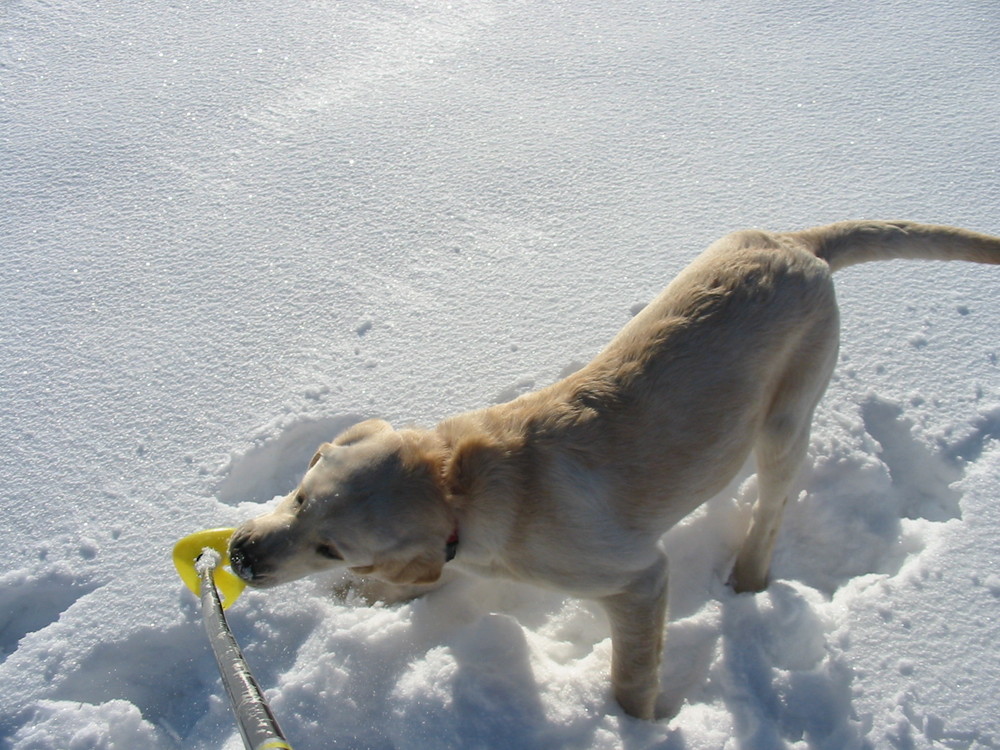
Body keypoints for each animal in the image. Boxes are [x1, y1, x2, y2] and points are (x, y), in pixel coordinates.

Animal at [230, 223, 996, 724]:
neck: (459, 482)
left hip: (785, 418)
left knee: (772, 506)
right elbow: (419, 578)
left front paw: (641, 727)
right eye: (298, 495)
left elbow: (631, 674)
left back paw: (748, 578)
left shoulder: (635, 579)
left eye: (332, 547)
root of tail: (798, 243)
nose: (238, 555)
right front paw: (368, 598)